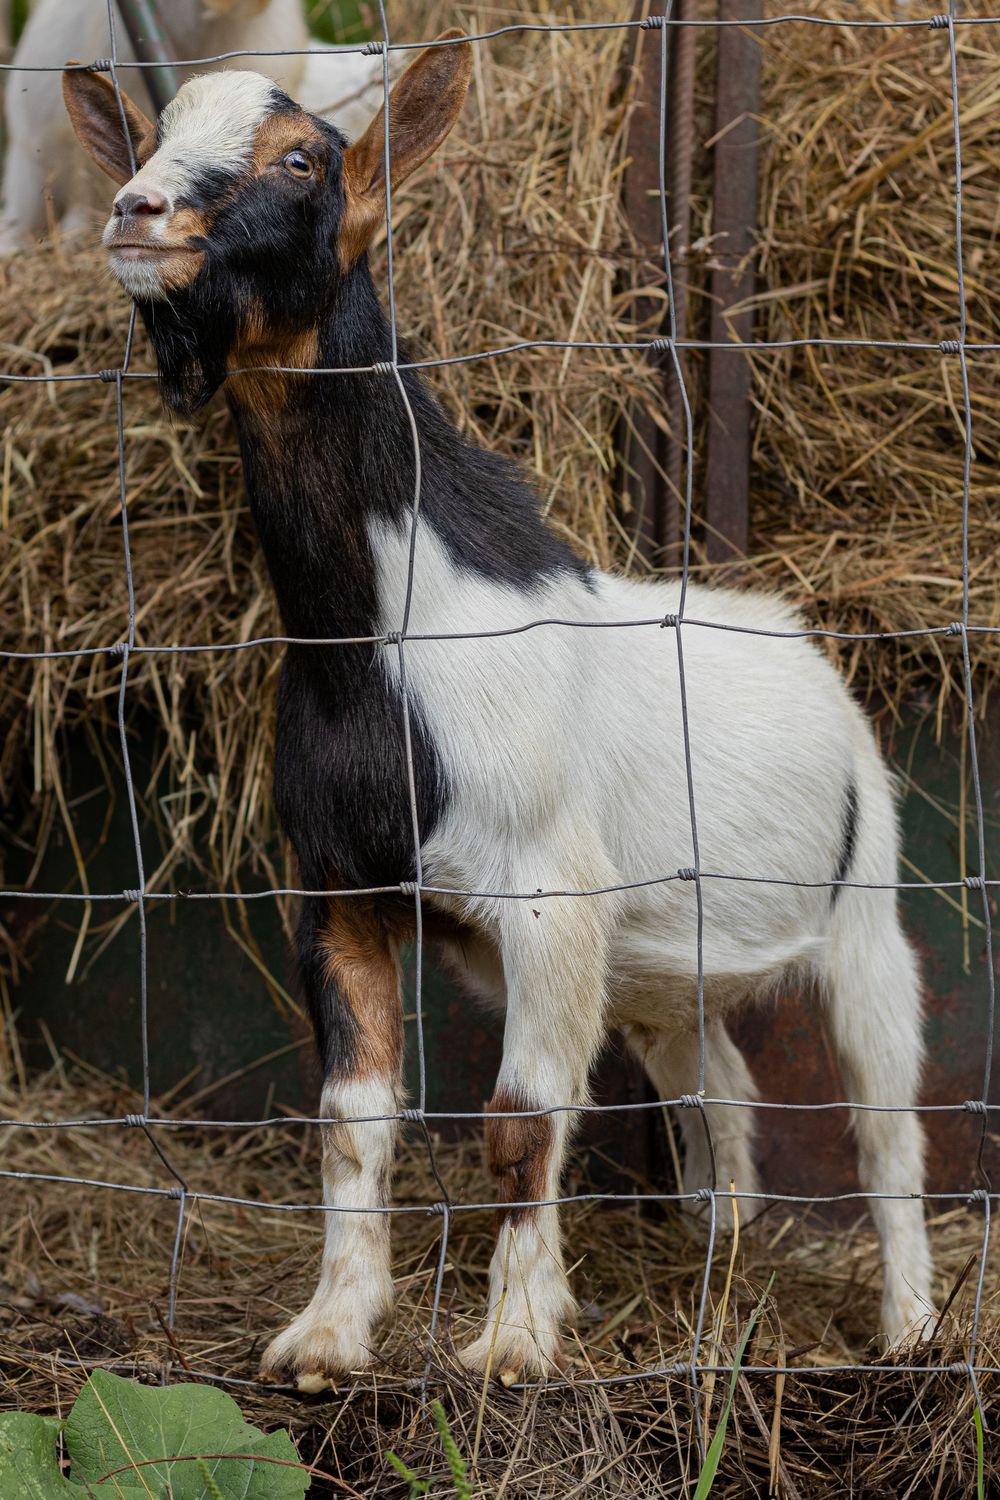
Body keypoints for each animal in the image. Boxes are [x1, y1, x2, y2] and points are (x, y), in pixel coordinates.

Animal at [63, 39, 935, 1387]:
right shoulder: (340, 890)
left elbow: (521, 1121)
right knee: (719, 1083)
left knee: (887, 1119)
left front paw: (513, 1343)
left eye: (303, 160)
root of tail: (804, 650)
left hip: (865, 905)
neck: (386, 637)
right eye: (154, 135)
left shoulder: (546, 893)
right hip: (666, 959)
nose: (135, 210)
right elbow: (352, 1120)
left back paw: (908, 1328)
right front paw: (327, 1334)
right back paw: (721, 1264)